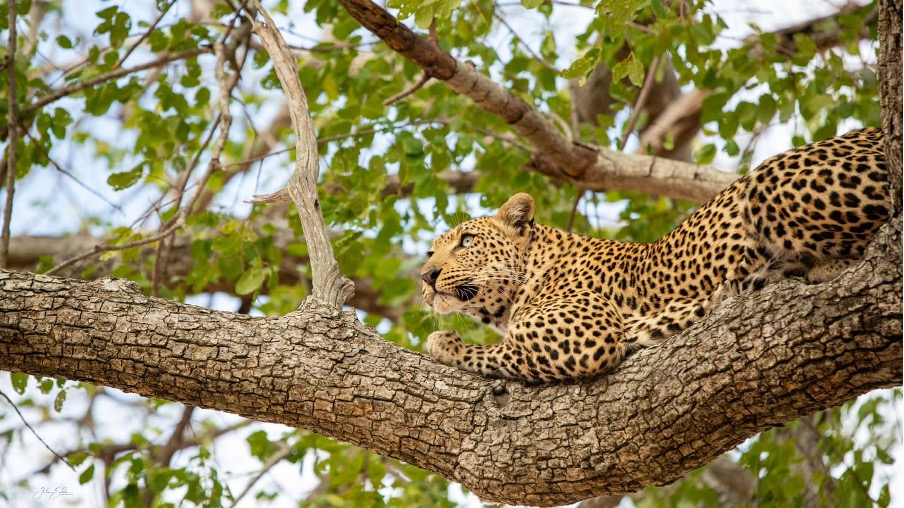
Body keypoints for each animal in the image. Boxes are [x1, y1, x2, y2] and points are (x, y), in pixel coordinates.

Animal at [420, 127, 888, 380]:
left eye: (466, 241)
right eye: (429, 251)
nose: (426, 277)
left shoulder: (588, 334)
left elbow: (497, 352)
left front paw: (444, 342)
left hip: (765, 182)